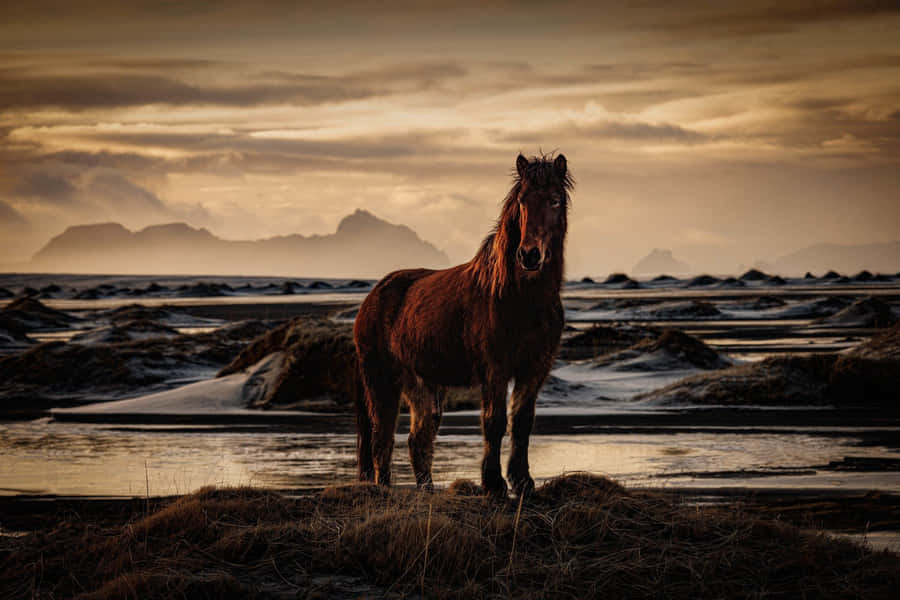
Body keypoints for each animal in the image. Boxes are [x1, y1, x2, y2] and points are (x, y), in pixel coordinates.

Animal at [353, 153, 572, 497]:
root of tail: (371, 297)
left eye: (554, 200)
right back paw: (385, 490)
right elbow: (494, 422)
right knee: (381, 439)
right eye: (522, 201)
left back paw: (427, 491)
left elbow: (522, 423)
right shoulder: (495, 369)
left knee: (418, 440)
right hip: (382, 380)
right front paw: (494, 484)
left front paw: (522, 482)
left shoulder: (534, 370)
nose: (529, 255)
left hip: (422, 383)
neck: (519, 298)